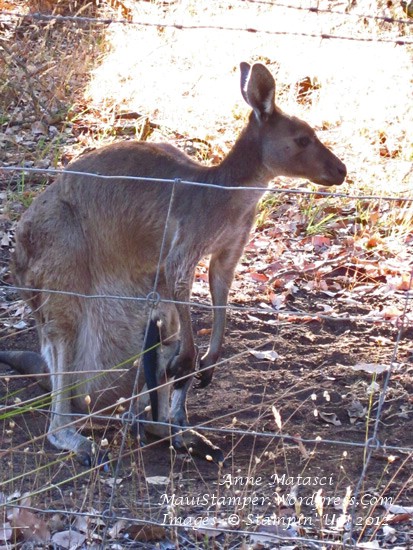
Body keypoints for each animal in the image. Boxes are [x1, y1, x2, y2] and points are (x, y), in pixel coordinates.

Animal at [0, 61, 346, 466]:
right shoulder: (183, 247)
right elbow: (182, 283)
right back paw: (83, 439)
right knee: (65, 359)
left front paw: (209, 361)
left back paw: (174, 430)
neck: (228, 192)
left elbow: (219, 291)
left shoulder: (228, 250)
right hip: (58, 260)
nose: (342, 171)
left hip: (141, 306)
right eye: (303, 140)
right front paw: (195, 363)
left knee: (162, 348)